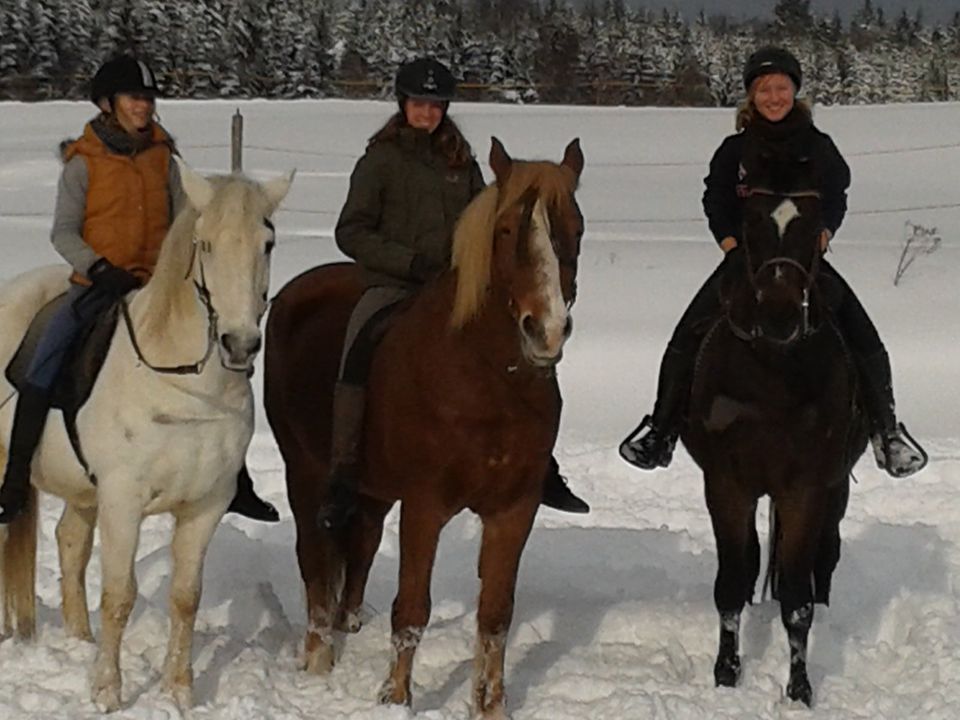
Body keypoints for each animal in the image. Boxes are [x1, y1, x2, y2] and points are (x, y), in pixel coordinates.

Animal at [0, 160, 292, 712]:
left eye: (267, 243)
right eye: (205, 244)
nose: (240, 344)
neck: (183, 386)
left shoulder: (205, 506)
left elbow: (185, 597)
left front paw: (178, 691)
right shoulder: (123, 499)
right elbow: (119, 595)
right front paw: (107, 691)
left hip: (82, 491)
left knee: (69, 542)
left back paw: (79, 639)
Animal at [260, 138, 584, 716]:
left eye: (577, 228)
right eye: (507, 230)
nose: (546, 331)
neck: (485, 380)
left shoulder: (513, 509)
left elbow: (495, 614)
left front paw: (490, 705)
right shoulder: (425, 506)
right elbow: (412, 607)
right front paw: (395, 697)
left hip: (370, 492)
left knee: (360, 549)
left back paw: (346, 627)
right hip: (305, 471)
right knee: (315, 564)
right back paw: (319, 659)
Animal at [684, 156, 872, 704]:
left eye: (811, 226)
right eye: (751, 224)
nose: (780, 315)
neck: (771, 371)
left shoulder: (805, 489)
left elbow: (796, 598)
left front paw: (800, 687)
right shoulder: (727, 485)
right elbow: (731, 580)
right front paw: (726, 673)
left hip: (835, 489)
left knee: (824, 560)